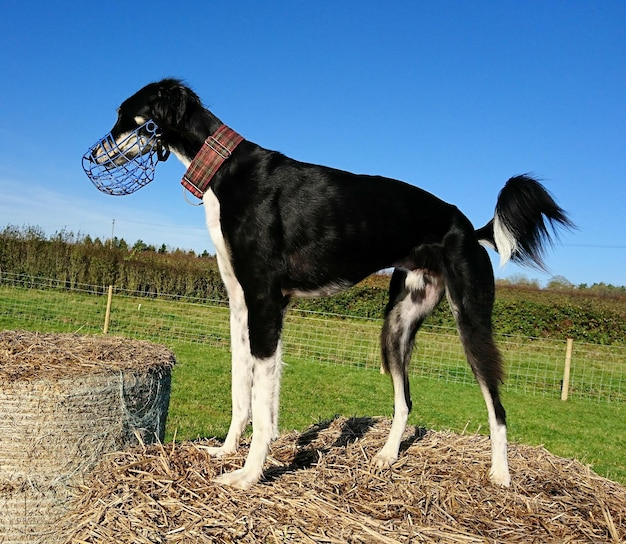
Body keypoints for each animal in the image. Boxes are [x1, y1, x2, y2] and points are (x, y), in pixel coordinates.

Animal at [83, 77, 572, 488]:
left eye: (126, 114)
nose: (93, 156)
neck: (224, 170)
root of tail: (469, 227)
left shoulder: (265, 303)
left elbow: (262, 406)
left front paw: (248, 476)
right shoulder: (241, 305)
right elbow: (244, 391)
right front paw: (225, 452)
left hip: (470, 319)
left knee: (496, 405)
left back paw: (501, 476)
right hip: (397, 323)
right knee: (405, 400)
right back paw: (387, 456)